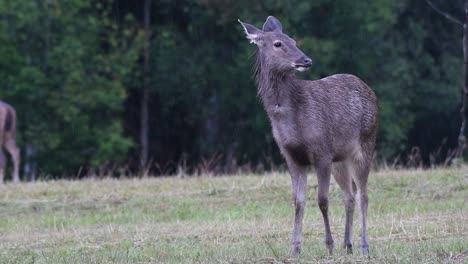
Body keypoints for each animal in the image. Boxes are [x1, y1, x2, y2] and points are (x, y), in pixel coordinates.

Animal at [239, 16, 378, 256]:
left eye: (294, 40)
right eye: (278, 43)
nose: (306, 60)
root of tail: (371, 91)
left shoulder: (322, 151)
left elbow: (322, 200)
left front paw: (329, 245)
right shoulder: (291, 156)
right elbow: (298, 201)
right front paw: (294, 249)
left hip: (366, 143)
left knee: (363, 195)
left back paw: (363, 246)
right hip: (340, 158)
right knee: (349, 195)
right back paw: (348, 245)